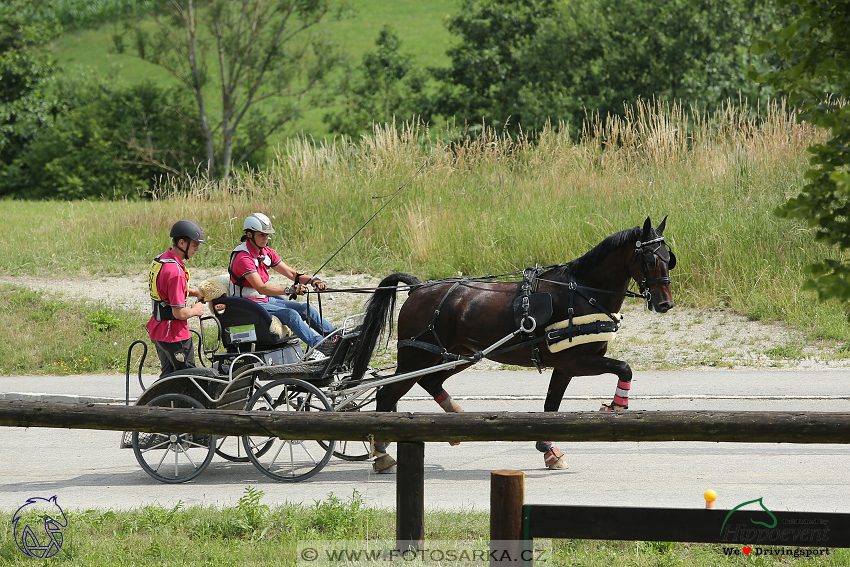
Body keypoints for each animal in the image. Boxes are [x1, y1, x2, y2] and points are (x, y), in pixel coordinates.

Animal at [348, 215, 672, 472]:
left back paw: (453, 424)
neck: (580, 292)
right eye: (649, 259)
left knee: (430, 382)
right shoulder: (576, 362)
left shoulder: (564, 367)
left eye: (670, 258)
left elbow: (551, 406)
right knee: (387, 395)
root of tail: (418, 288)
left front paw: (549, 450)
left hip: (458, 355)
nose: (665, 303)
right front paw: (617, 405)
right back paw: (382, 454)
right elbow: (624, 368)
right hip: (417, 357)